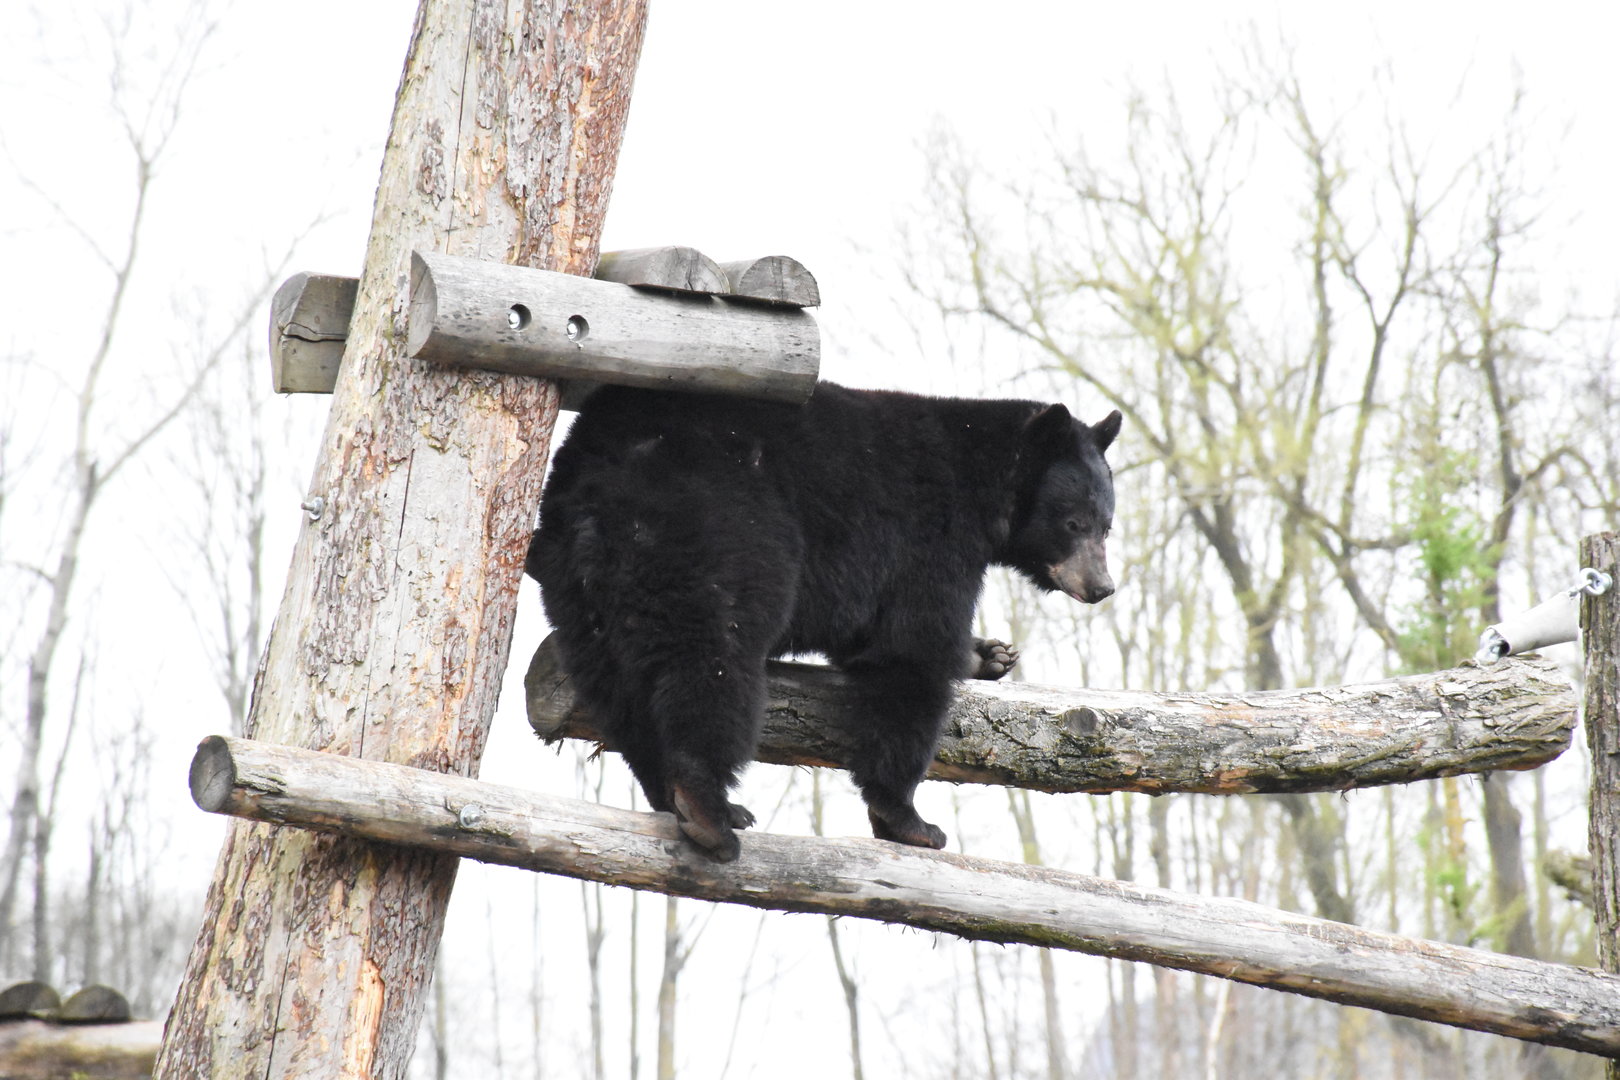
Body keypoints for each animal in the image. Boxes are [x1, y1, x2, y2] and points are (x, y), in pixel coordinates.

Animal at [526, 381, 1121, 862]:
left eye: (1107, 526)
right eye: (1074, 522)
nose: (1102, 587)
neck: (983, 482)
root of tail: (599, 472)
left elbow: (871, 644)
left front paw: (991, 653)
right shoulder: (927, 540)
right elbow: (911, 653)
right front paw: (910, 821)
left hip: (578, 586)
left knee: (617, 690)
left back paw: (672, 795)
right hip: (712, 527)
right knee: (712, 661)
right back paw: (710, 812)